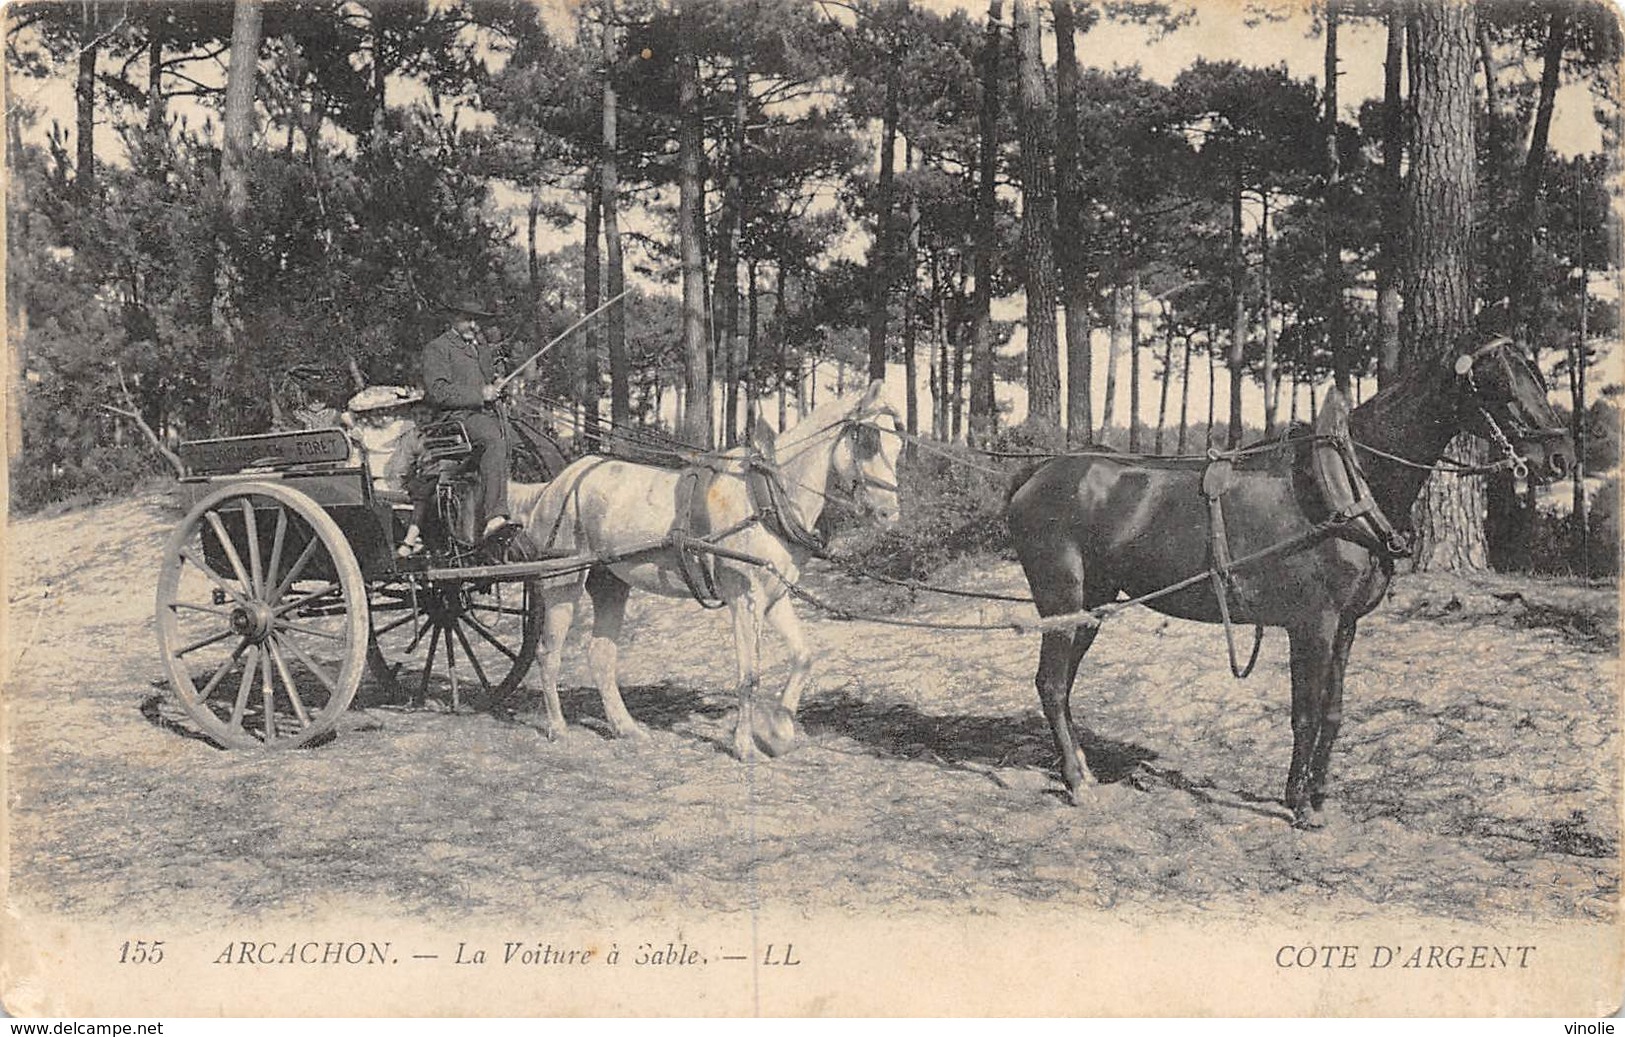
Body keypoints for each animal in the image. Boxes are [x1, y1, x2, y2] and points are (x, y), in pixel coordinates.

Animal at [516, 386, 903, 760]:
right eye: (868, 441)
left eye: (899, 445)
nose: (890, 514)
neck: (765, 499)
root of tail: (554, 485)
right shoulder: (745, 598)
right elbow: (749, 675)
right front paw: (745, 745)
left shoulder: (774, 597)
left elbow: (803, 657)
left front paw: (779, 730)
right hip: (561, 582)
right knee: (548, 653)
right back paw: (558, 729)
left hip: (610, 582)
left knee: (600, 655)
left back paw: (626, 728)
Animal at [1007, 341, 1566, 828]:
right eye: (1501, 385)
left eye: (1536, 377)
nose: (1560, 459)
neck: (1346, 486)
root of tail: (1038, 472)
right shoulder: (1311, 625)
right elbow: (1306, 713)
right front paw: (1298, 803)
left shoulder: (1345, 625)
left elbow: (1333, 713)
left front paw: (1318, 795)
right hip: (1062, 599)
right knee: (1051, 684)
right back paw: (1077, 781)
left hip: (1093, 604)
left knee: (1062, 685)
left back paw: (1082, 770)